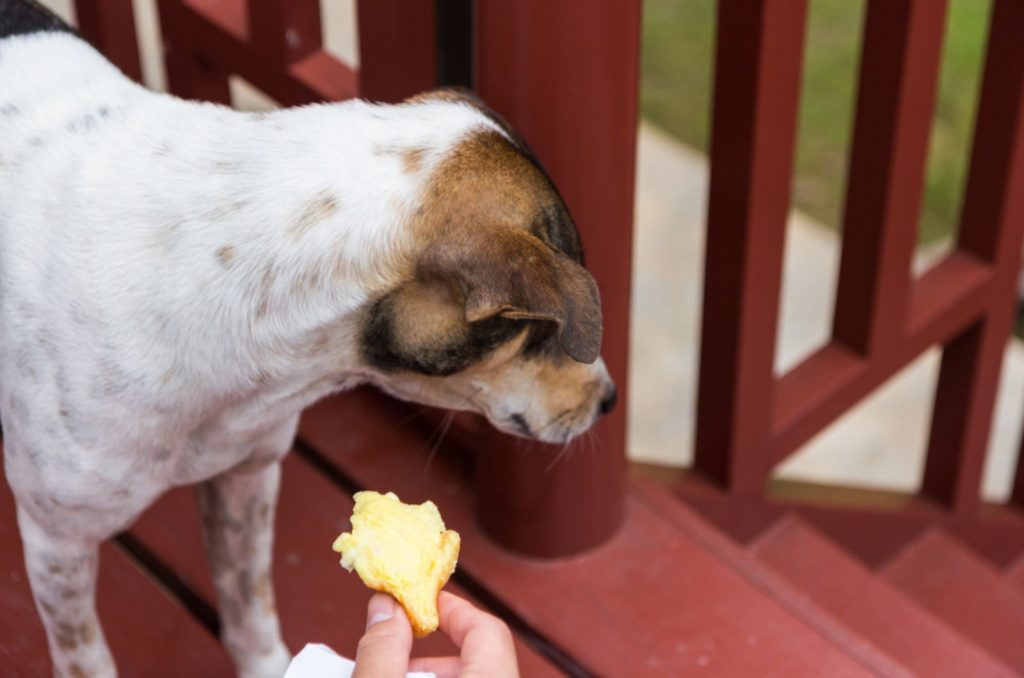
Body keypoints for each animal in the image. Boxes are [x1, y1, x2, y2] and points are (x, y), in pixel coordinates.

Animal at [0, 1, 614, 678]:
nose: (610, 400)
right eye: (544, 333)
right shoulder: (58, 542)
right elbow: (86, 657)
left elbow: (250, 609)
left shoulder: (247, 471)